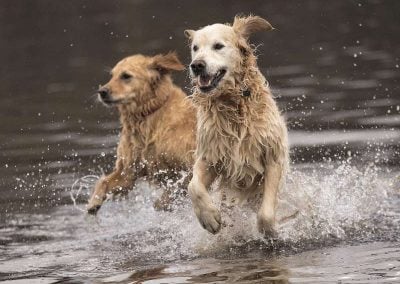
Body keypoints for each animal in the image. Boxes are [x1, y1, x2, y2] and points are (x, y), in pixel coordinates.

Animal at [86, 52, 196, 214]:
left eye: (126, 76)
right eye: (112, 75)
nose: (102, 92)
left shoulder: (189, 166)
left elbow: (170, 194)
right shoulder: (129, 171)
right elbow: (103, 181)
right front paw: (93, 202)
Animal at [184, 15, 288, 235]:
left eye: (218, 46)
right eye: (195, 48)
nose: (196, 65)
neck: (233, 103)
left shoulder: (272, 156)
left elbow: (266, 213)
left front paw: (270, 230)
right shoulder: (211, 155)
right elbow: (193, 187)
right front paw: (209, 218)